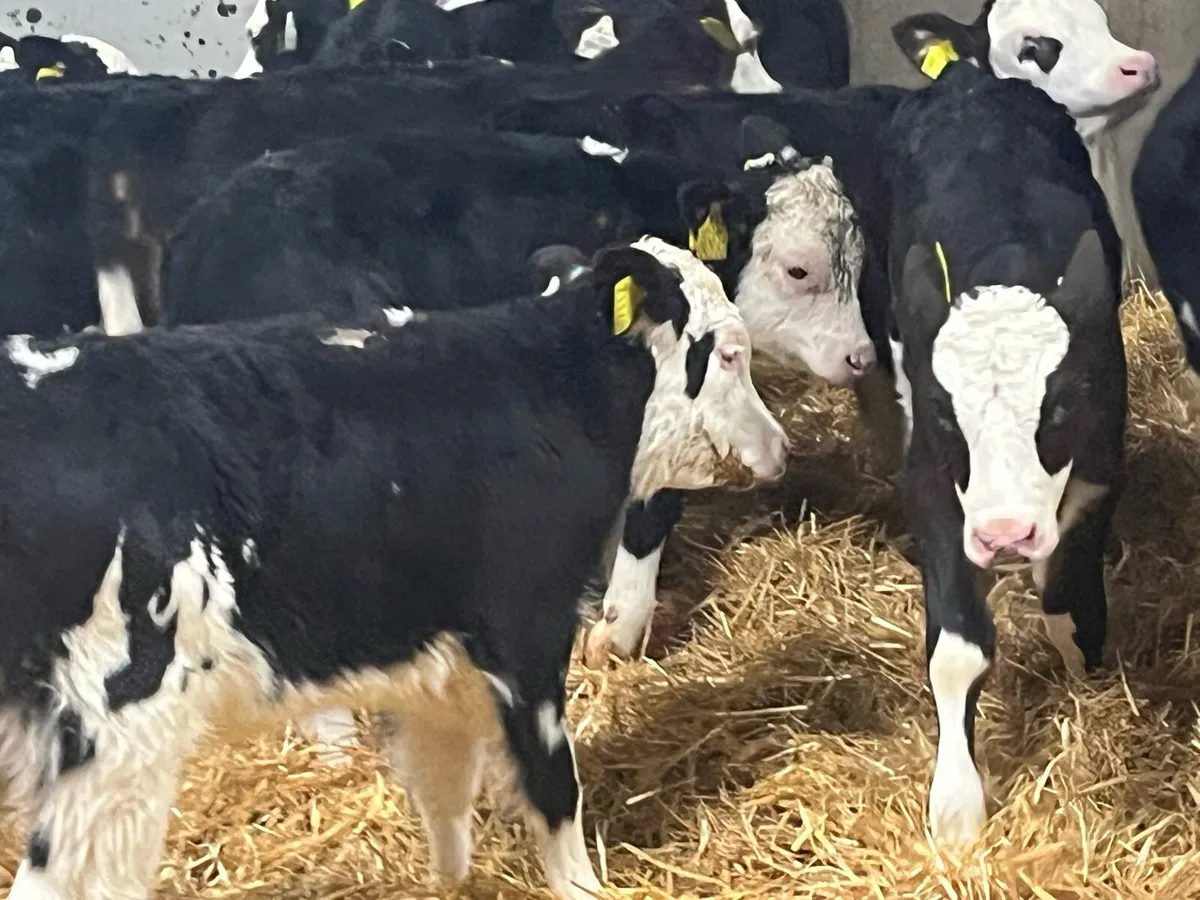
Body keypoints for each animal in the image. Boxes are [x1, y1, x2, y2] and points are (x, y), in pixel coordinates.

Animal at [0, 237, 786, 900]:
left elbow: (444, 785)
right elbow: (552, 784)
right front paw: (582, 885)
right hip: (114, 724)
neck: (548, 390)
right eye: (730, 354)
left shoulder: (434, 653)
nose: (780, 447)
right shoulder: (525, 623)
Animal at [882, 61, 1125, 848]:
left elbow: (1067, 600)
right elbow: (958, 650)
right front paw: (956, 807)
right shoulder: (930, 482)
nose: (1004, 534)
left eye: (1060, 405)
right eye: (944, 414)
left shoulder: (1100, 470)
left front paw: (1086, 676)